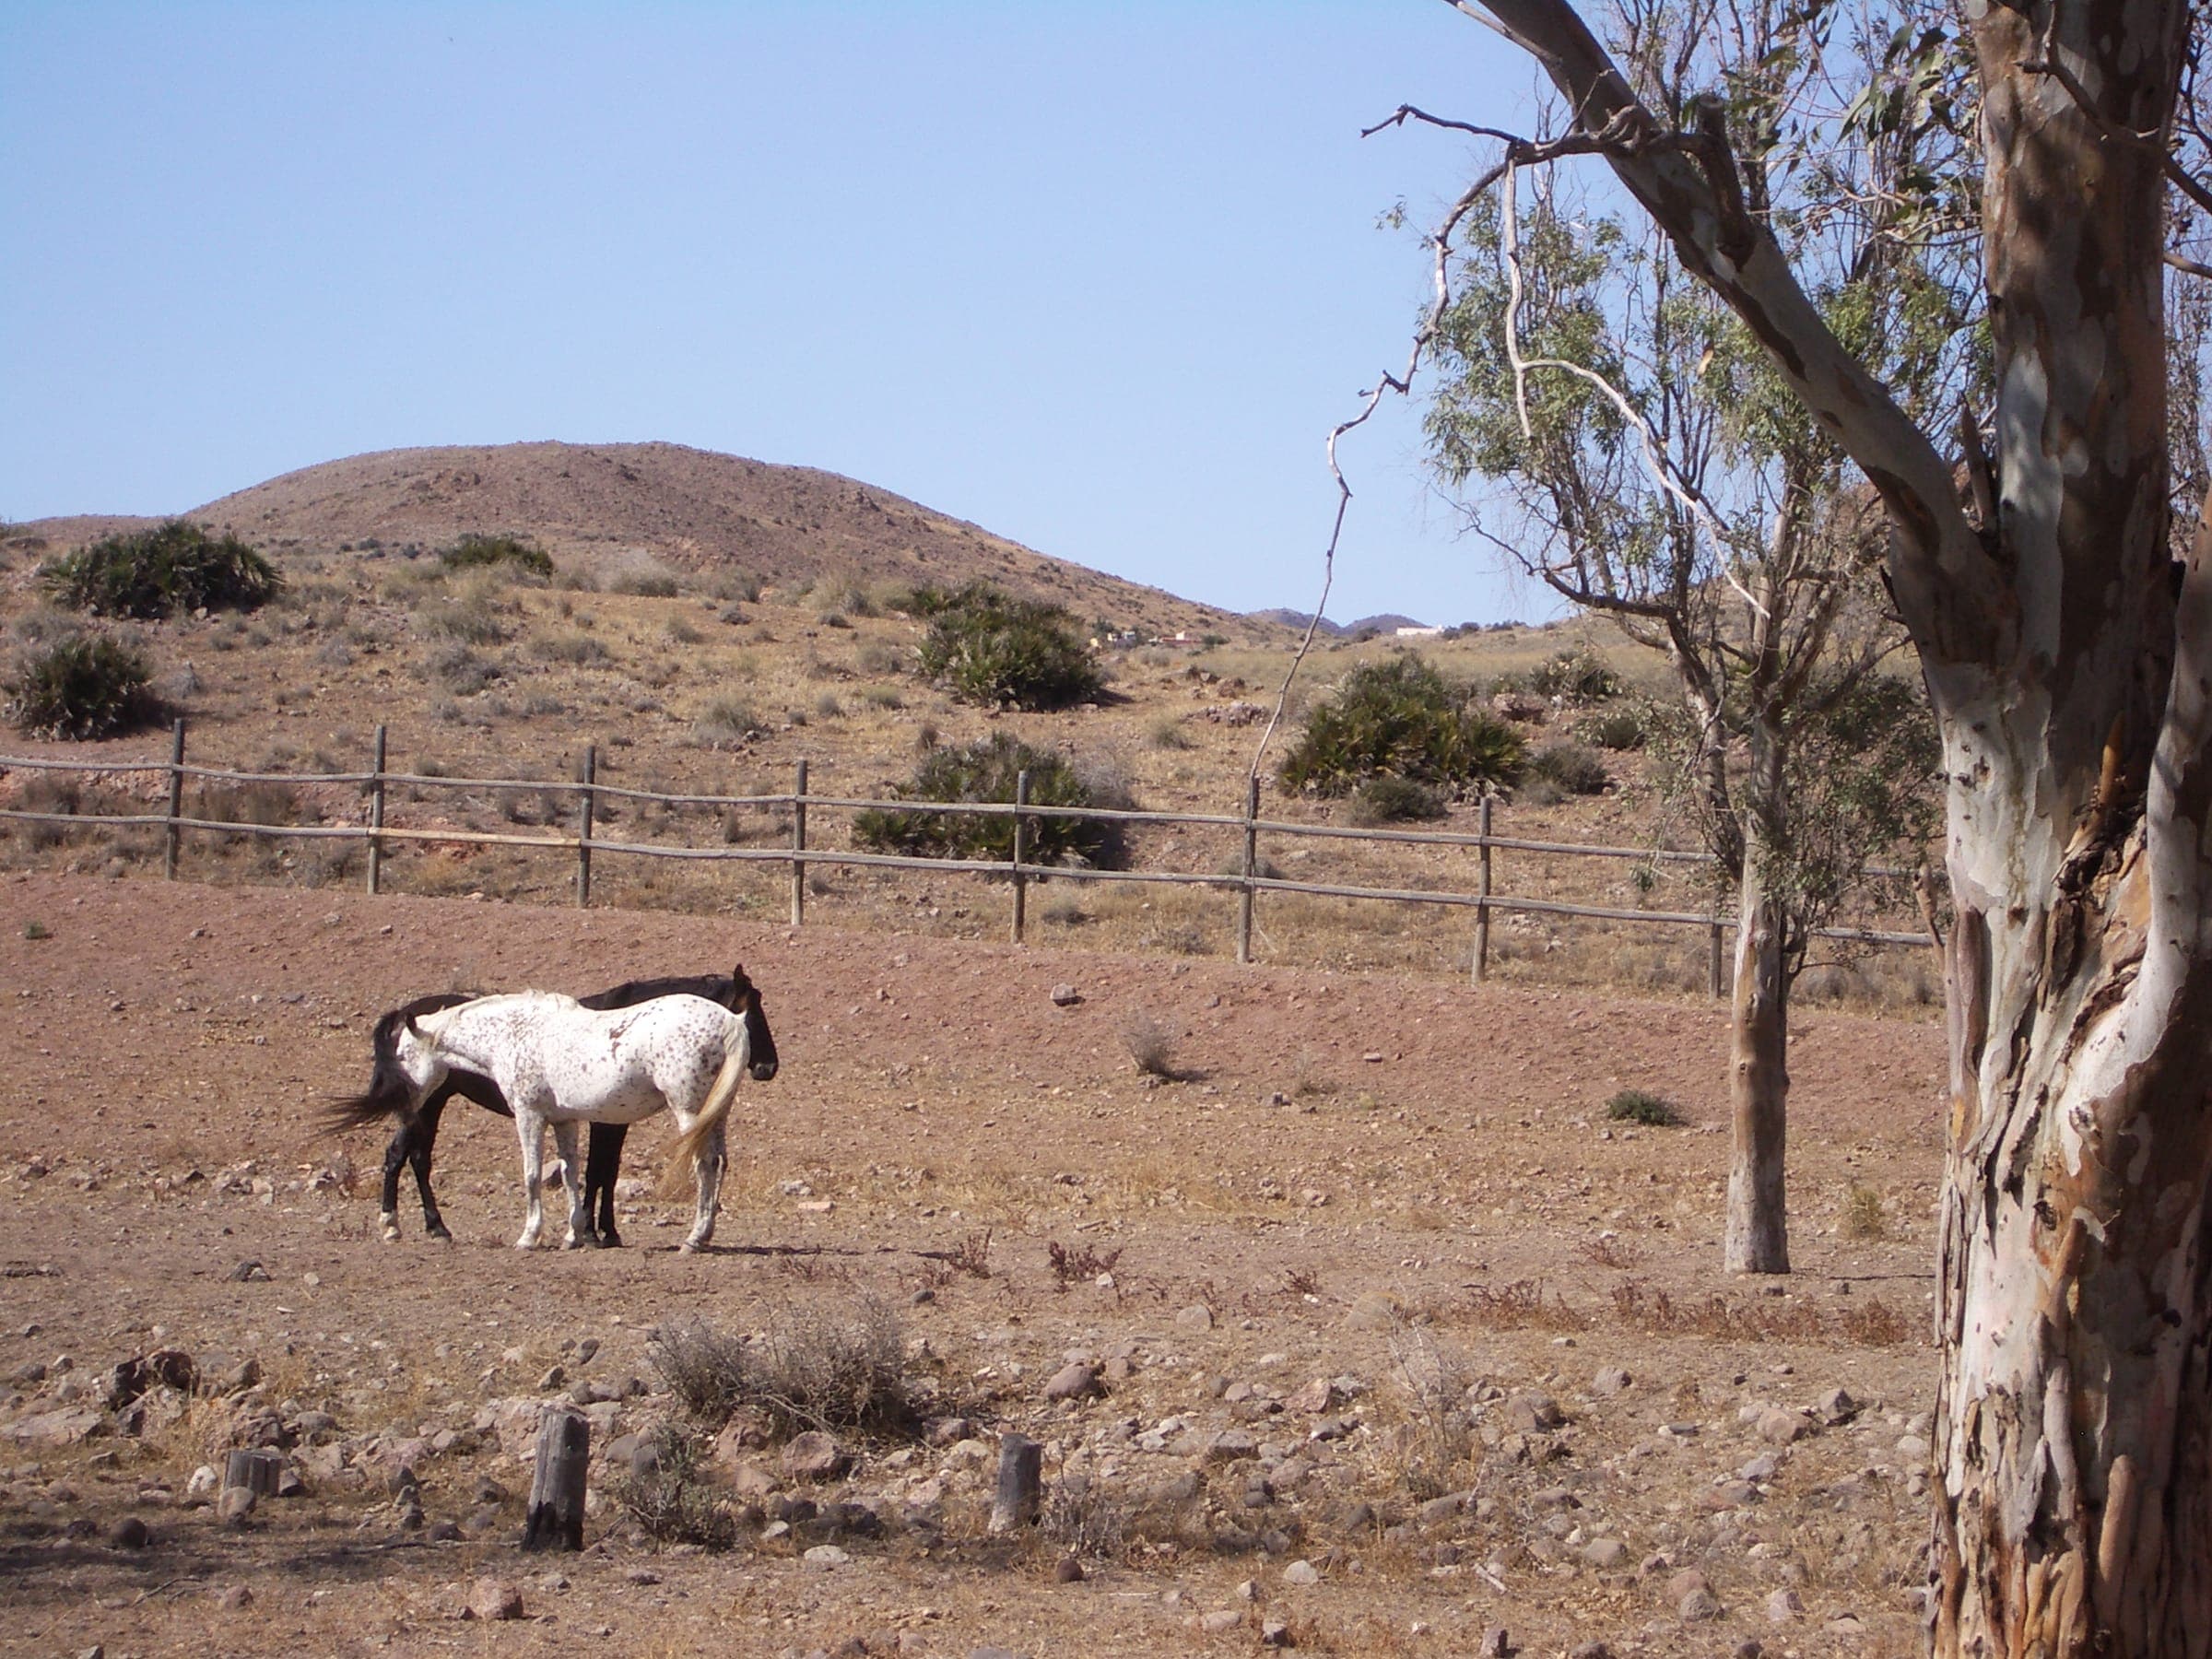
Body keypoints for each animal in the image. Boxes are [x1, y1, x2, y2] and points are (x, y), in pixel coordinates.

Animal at [331, 965, 777, 1246]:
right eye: (753, 1004)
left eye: (404, 1055)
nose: (768, 1066)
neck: (513, 1032)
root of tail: (727, 1024)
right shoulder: (569, 1120)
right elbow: (573, 1174)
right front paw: (577, 1234)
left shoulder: (532, 1116)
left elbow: (537, 1174)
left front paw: (531, 1236)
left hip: (689, 1111)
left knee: (705, 1164)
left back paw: (695, 1237)